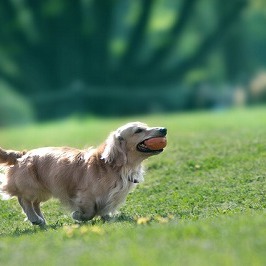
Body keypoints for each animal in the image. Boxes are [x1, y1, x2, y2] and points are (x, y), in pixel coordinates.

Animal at [0, 121, 166, 225]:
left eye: (146, 126)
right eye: (138, 130)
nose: (164, 129)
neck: (111, 166)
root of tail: (22, 155)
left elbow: (104, 210)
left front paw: (108, 217)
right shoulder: (84, 196)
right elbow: (90, 211)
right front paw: (77, 216)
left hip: (42, 190)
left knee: (34, 203)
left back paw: (40, 220)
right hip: (32, 187)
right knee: (24, 200)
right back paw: (34, 218)